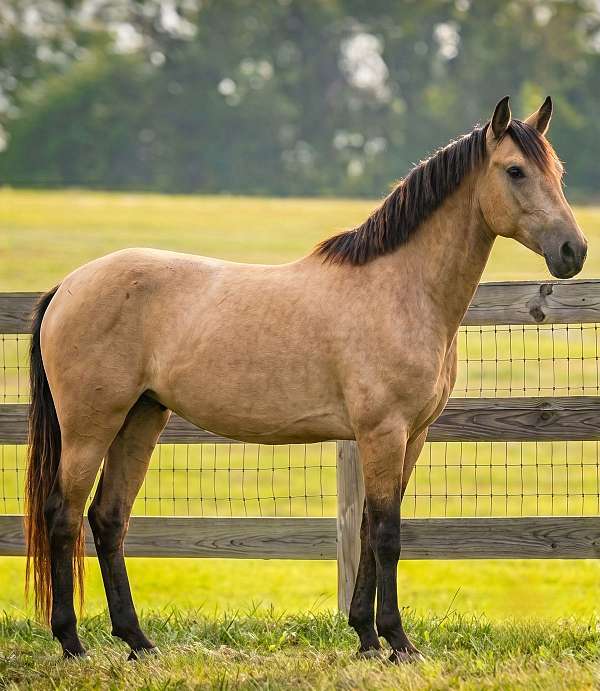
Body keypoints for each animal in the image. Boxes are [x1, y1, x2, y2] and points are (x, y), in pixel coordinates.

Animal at [25, 96, 586, 660]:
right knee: (64, 516)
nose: (573, 251)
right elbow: (387, 535)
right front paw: (398, 641)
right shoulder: (384, 432)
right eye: (514, 171)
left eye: (558, 172)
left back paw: (139, 642)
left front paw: (366, 637)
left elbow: (367, 528)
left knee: (108, 518)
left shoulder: (412, 436)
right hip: (91, 427)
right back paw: (72, 642)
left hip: (141, 418)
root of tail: (68, 286)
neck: (400, 290)